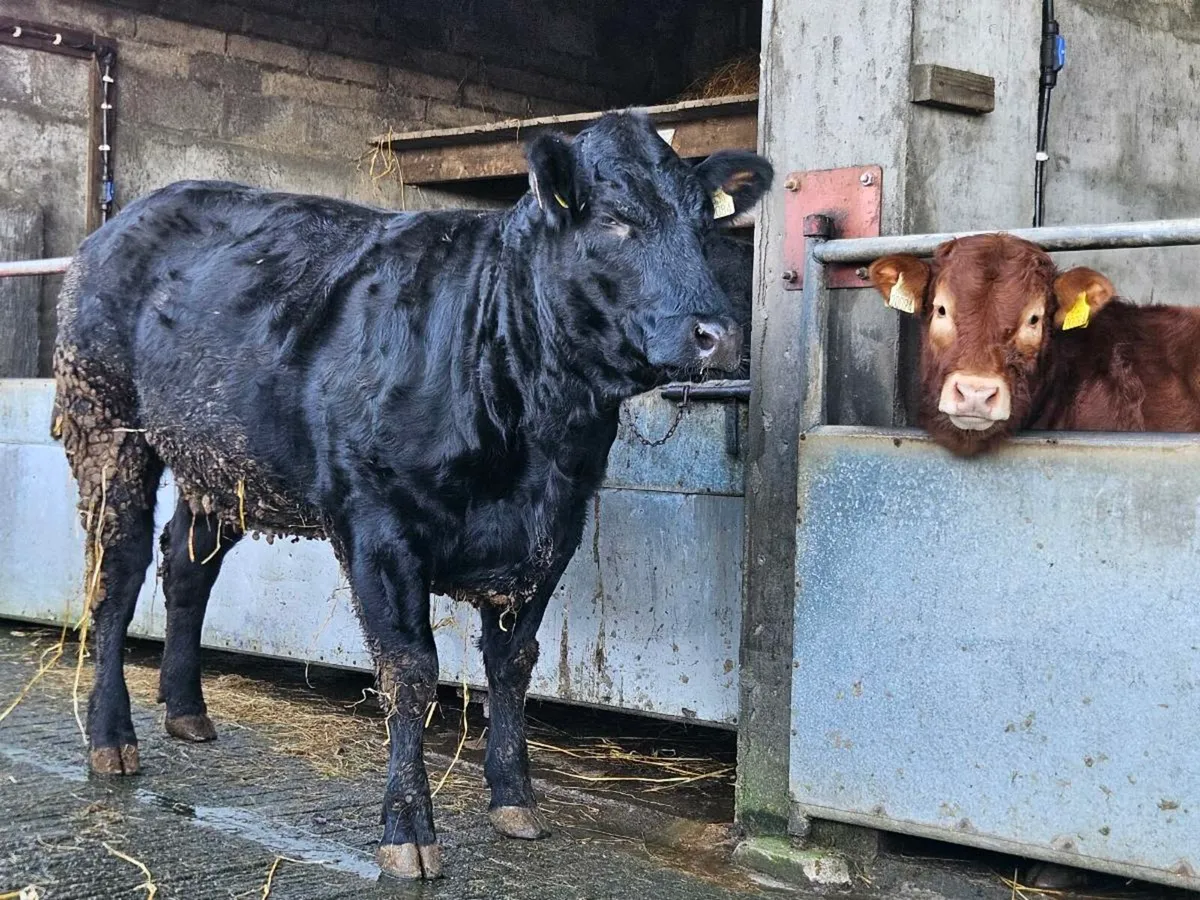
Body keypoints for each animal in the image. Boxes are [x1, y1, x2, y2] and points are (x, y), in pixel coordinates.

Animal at [51, 110, 772, 880]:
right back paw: (111, 738)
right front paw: (408, 830)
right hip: (107, 427)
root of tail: (122, 221)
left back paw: (187, 712)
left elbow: (513, 664)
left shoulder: (554, 534)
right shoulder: (378, 526)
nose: (718, 333)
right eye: (614, 220)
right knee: (116, 577)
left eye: (704, 222)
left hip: (220, 463)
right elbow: (411, 671)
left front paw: (514, 800)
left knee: (187, 567)